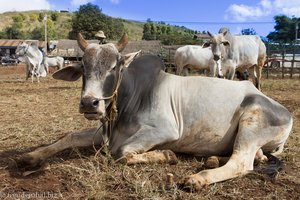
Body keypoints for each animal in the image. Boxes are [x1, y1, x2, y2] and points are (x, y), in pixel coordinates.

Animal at [17, 32, 292, 190]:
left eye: (115, 66)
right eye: (83, 66)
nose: (89, 103)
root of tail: (284, 111)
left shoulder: (164, 131)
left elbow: (122, 152)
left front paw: (167, 155)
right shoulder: (104, 133)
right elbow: (70, 136)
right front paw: (32, 156)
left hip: (251, 122)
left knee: (241, 162)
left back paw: (198, 178)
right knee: (254, 158)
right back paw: (215, 159)